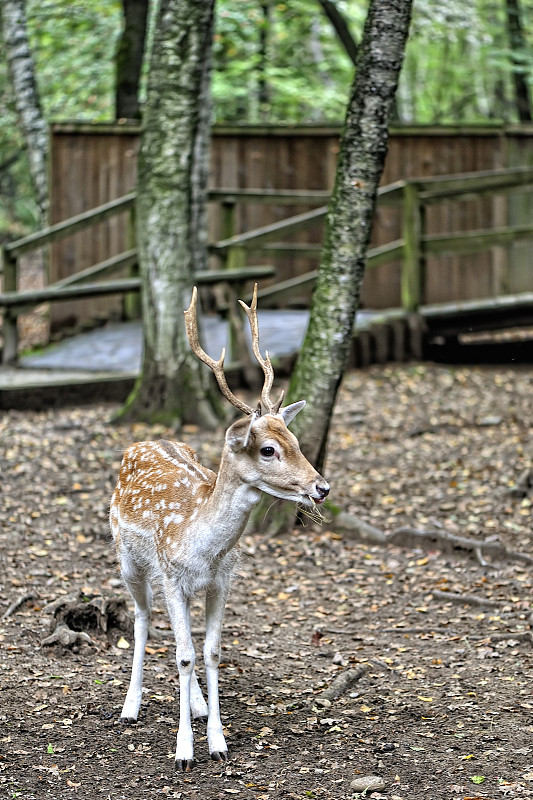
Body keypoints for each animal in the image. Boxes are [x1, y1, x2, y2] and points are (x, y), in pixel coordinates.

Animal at [109, 286, 328, 768]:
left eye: (296, 441)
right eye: (268, 449)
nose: (321, 487)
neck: (202, 545)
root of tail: (143, 440)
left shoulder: (223, 578)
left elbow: (208, 652)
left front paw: (217, 741)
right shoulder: (171, 576)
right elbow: (183, 656)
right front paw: (184, 751)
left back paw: (196, 703)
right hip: (128, 558)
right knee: (142, 618)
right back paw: (130, 706)